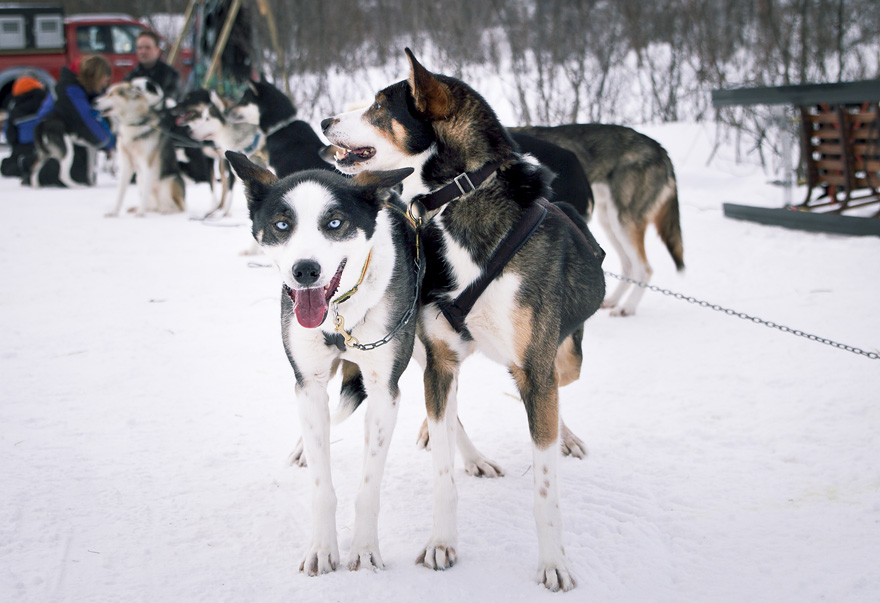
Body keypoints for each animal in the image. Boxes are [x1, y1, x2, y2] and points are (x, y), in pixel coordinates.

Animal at [322, 49, 604, 592]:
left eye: (378, 105)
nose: (324, 121)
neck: (460, 200)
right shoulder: (441, 358)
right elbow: (442, 474)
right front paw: (442, 543)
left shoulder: (535, 368)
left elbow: (544, 487)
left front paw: (553, 562)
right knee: (443, 409)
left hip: (563, 358)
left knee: (557, 387)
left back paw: (566, 435)